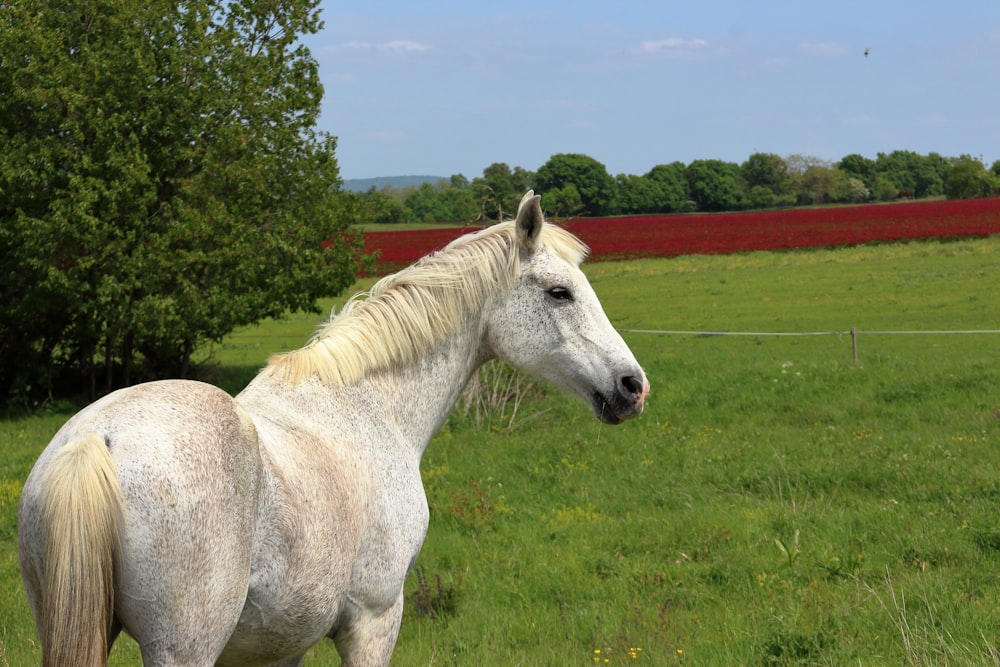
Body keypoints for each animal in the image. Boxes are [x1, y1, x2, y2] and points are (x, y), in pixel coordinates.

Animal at [17, 190, 648, 664]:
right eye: (560, 292)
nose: (632, 386)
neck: (370, 409)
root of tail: (97, 439)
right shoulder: (373, 620)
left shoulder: (279, 647)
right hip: (184, 648)